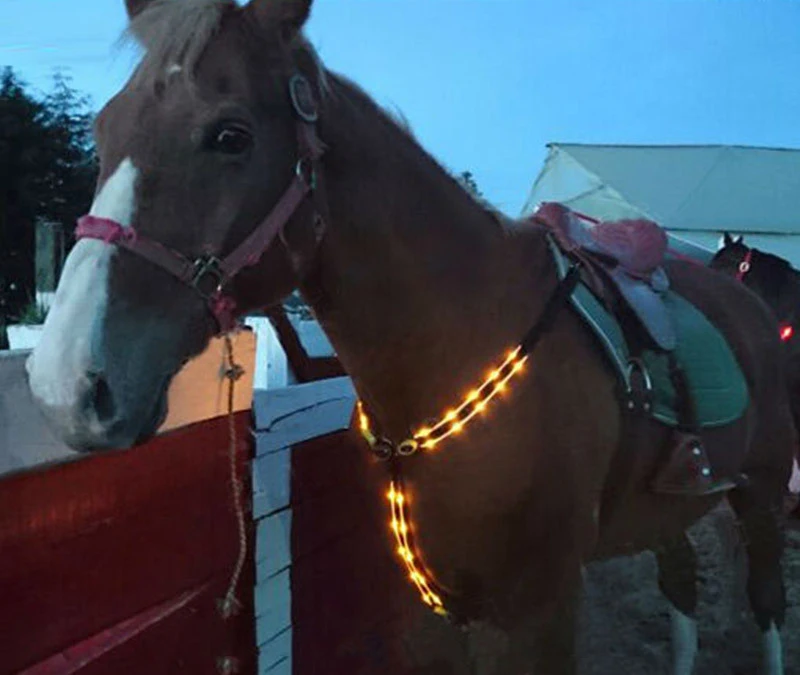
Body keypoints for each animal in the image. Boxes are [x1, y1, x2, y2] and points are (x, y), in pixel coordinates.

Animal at [25, 1, 796, 673]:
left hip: (758, 498)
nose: (65, 381)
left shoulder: (542, 610)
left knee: (764, 606)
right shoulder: (447, 611)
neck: (465, 343)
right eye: (103, 130)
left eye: (230, 135)